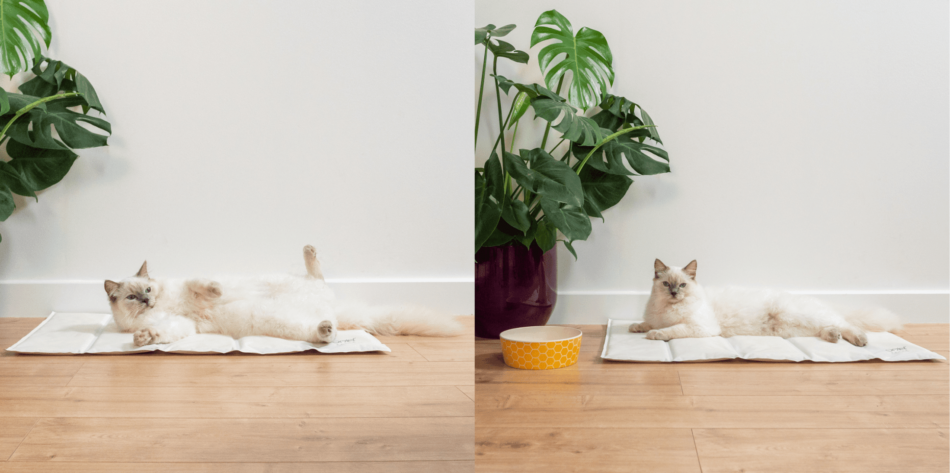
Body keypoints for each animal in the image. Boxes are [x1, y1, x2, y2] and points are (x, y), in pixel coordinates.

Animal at [104, 245, 462, 344]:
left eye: (148, 288)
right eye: (133, 298)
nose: (148, 299)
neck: (165, 303)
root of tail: (334, 309)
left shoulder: (188, 285)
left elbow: (201, 285)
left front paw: (217, 290)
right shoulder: (179, 325)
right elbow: (160, 333)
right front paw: (143, 339)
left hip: (301, 284)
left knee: (317, 272)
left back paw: (309, 250)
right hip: (291, 323)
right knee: (323, 333)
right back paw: (326, 329)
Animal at [628, 258, 904, 346]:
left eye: (682, 286)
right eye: (667, 285)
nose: (675, 294)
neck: (666, 309)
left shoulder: (700, 328)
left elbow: (670, 330)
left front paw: (654, 335)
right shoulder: (654, 317)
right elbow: (644, 323)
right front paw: (636, 328)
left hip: (805, 316)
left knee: (848, 325)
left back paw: (859, 340)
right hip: (797, 328)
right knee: (832, 328)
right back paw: (833, 337)